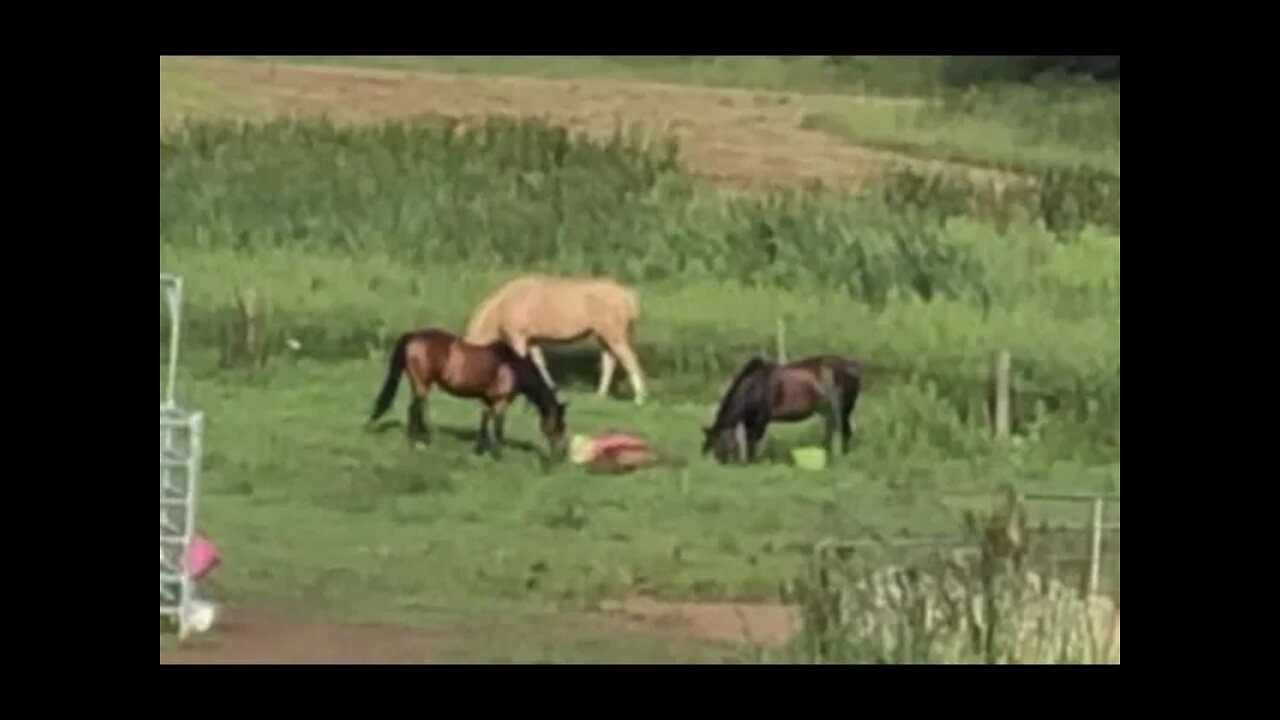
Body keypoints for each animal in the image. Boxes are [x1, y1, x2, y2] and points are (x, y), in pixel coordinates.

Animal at [371, 326, 570, 458]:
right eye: (559, 425)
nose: (562, 454)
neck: (513, 367)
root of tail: (413, 336)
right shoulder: (500, 402)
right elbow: (498, 428)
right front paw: (499, 455)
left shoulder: (488, 401)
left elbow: (484, 423)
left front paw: (480, 450)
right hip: (421, 384)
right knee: (415, 409)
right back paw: (419, 441)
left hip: (419, 384)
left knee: (415, 408)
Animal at [463, 274, 650, 404]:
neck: (504, 304)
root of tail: (627, 296)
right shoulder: (532, 340)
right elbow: (539, 363)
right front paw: (551, 388)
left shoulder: (519, 337)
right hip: (603, 337)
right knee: (610, 361)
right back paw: (600, 394)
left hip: (614, 336)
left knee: (630, 360)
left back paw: (640, 398)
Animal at [696, 353, 865, 466]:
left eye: (719, 446)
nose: (721, 466)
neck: (754, 386)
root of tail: (852, 366)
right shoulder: (748, 420)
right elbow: (749, 440)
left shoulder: (761, 420)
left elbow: (754, 440)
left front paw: (753, 463)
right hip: (832, 411)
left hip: (843, 409)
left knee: (843, 431)